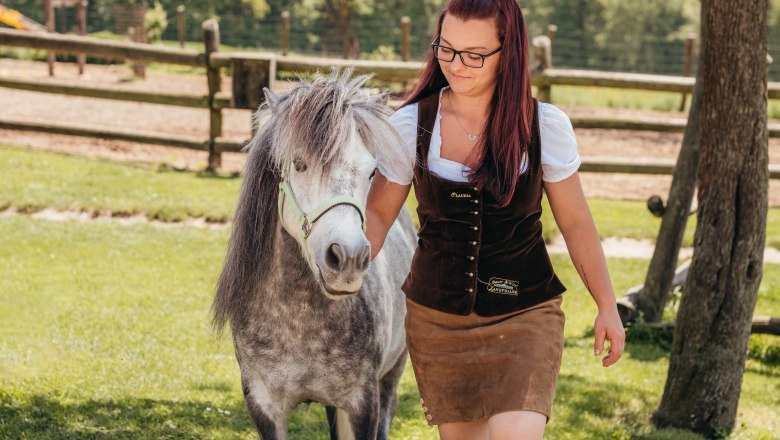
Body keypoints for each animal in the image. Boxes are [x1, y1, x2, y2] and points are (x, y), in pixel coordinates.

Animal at [210, 66, 418, 440]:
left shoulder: (363, 403)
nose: (348, 258)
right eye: (299, 163)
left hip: (391, 376)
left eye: (373, 171)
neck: (298, 321)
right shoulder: (263, 405)